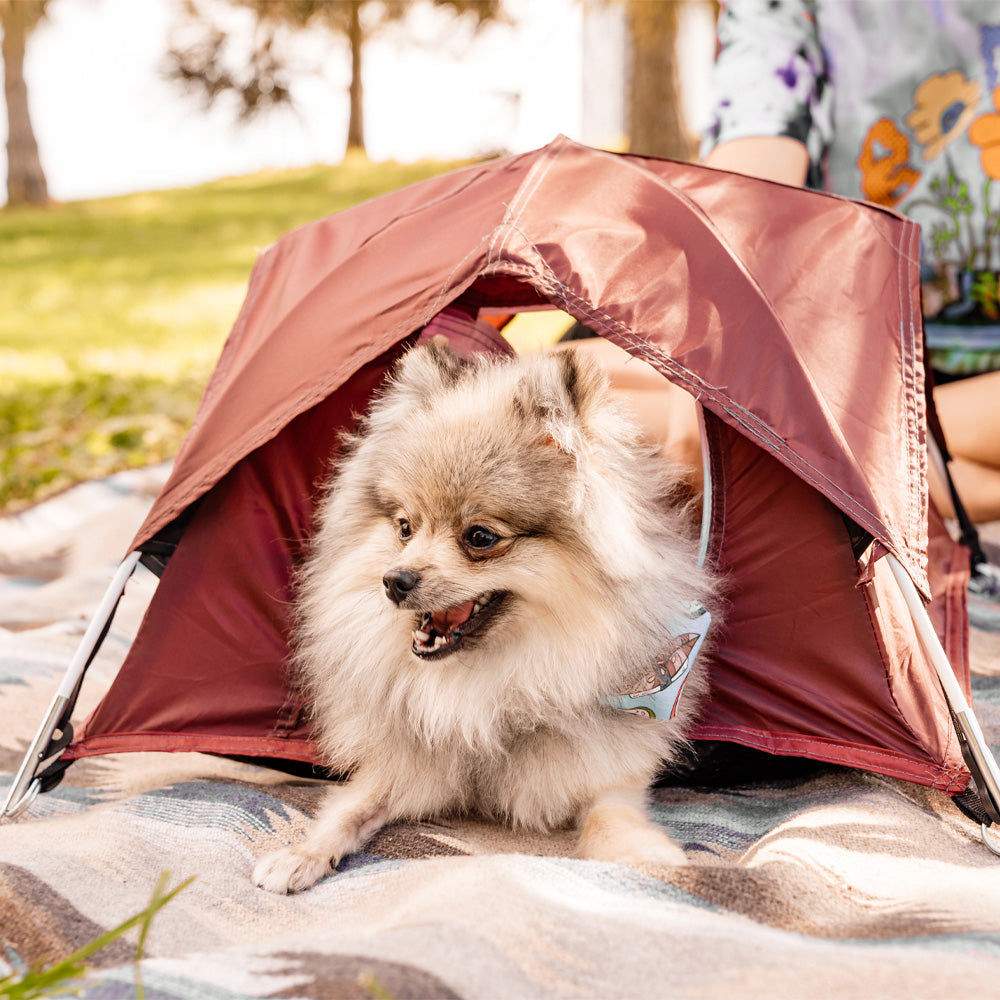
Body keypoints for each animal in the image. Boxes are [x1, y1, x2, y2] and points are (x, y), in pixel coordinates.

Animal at [252, 340, 720, 896]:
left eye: (479, 537)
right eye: (405, 527)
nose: (394, 580)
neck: (491, 682)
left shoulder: (606, 775)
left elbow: (611, 819)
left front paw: (650, 858)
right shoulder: (405, 767)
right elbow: (349, 809)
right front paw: (300, 854)